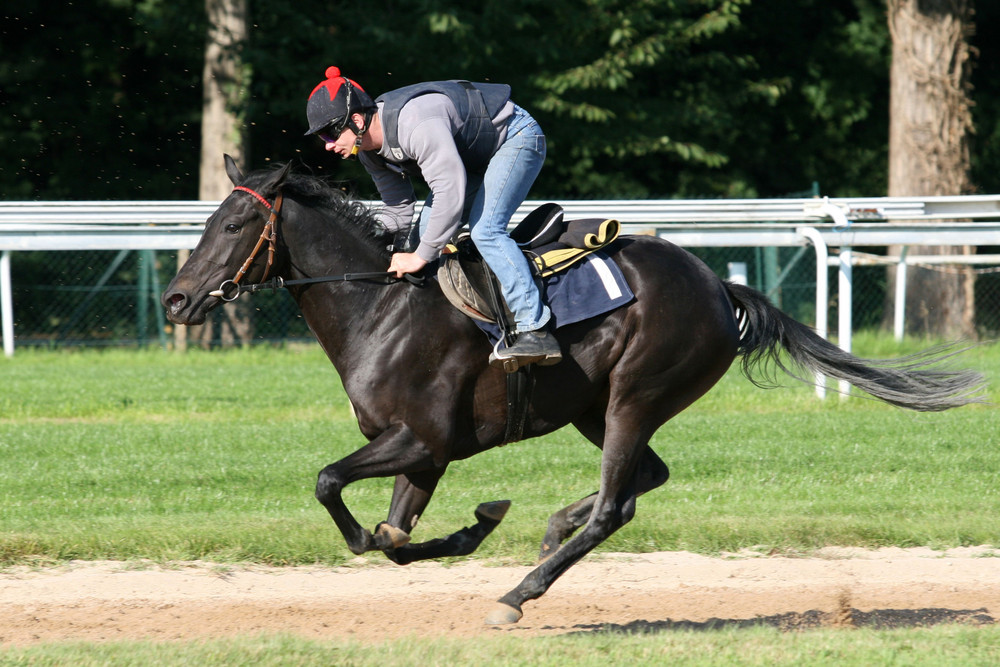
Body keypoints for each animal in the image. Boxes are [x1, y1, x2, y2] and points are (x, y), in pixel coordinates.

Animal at [162, 158, 984, 628]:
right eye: (208, 219)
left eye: (234, 223)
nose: (175, 300)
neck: (381, 303)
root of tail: (718, 284)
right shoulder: (425, 453)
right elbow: (392, 537)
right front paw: (477, 523)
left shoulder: (422, 436)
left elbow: (331, 483)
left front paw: (478, 531)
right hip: (595, 406)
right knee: (644, 476)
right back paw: (555, 526)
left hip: (634, 395)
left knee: (620, 501)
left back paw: (520, 592)